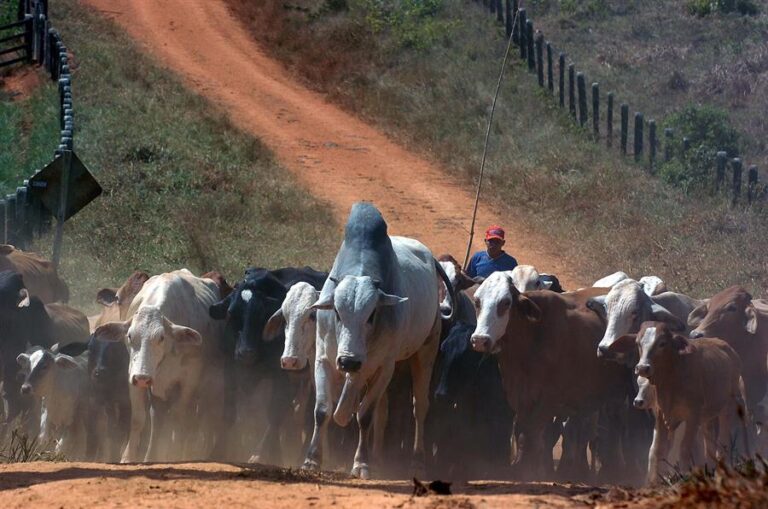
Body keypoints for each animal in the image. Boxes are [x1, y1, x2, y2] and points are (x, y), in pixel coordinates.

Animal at [210, 266, 328, 464]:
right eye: (231, 313)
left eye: (261, 314)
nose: (246, 352)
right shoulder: (230, 368)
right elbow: (229, 412)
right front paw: (217, 450)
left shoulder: (283, 375)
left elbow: (274, 414)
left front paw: (268, 454)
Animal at [468, 272, 632, 478]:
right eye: (477, 301)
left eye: (505, 302)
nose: (480, 340)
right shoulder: (519, 397)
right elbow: (522, 432)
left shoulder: (547, 401)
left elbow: (532, 435)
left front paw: (530, 471)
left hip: (616, 397)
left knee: (613, 428)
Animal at [620, 322, 748, 484]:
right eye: (638, 343)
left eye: (662, 343)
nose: (643, 367)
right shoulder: (662, 416)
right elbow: (657, 450)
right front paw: (654, 481)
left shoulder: (693, 417)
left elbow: (684, 448)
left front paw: (684, 476)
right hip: (708, 416)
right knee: (709, 443)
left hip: (728, 406)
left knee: (724, 439)